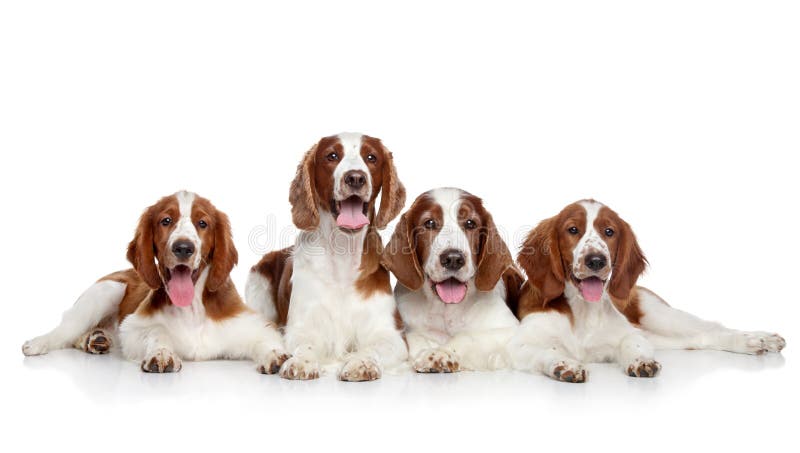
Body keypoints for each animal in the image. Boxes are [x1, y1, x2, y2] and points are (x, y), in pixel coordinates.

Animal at [20, 192, 290, 372]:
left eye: (202, 223)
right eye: (166, 221)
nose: (183, 248)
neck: (192, 309)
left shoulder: (253, 324)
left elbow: (267, 340)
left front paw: (276, 356)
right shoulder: (133, 328)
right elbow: (156, 331)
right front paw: (161, 353)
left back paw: (96, 339)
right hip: (106, 289)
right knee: (65, 329)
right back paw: (40, 342)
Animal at [244, 132, 406, 380]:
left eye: (371, 157)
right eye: (332, 156)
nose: (355, 178)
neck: (342, 253)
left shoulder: (391, 333)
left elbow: (374, 347)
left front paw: (361, 362)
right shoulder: (301, 326)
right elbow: (305, 344)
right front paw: (301, 362)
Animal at [510, 200, 784, 380]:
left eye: (609, 232)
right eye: (572, 230)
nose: (596, 260)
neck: (582, 310)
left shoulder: (630, 334)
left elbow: (634, 343)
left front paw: (641, 361)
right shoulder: (520, 346)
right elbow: (549, 349)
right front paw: (567, 365)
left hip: (661, 316)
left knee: (713, 328)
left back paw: (757, 339)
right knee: (699, 339)